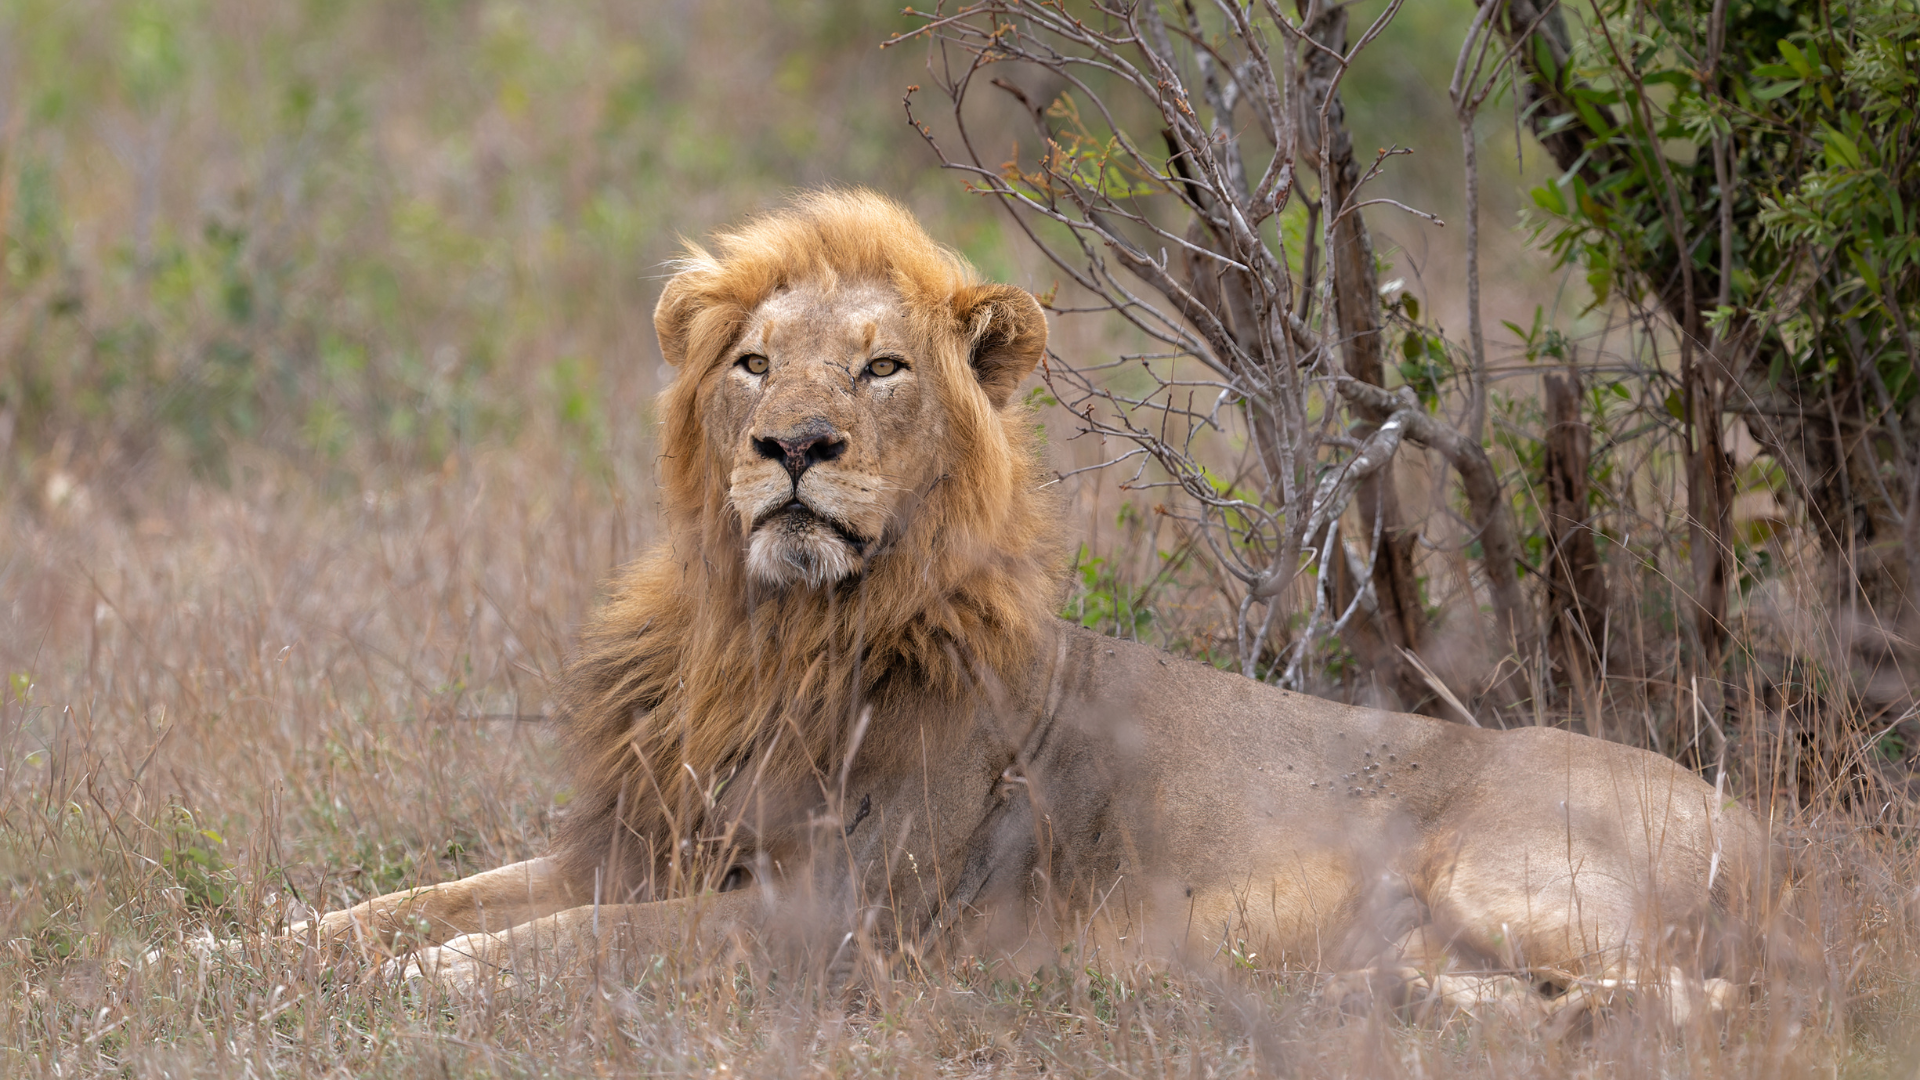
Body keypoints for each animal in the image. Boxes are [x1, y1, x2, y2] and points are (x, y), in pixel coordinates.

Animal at [280, 187, 1766, 1014]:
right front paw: (249, 950)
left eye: (880, 367)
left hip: (1502, 872)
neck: (771, 637)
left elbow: (577, 944)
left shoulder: (843, 919)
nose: (794, 446)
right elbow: (406, 903)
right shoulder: (637, 845)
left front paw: (433, 986)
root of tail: (1769, 831)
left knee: (1692, 996)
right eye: (753, 362)